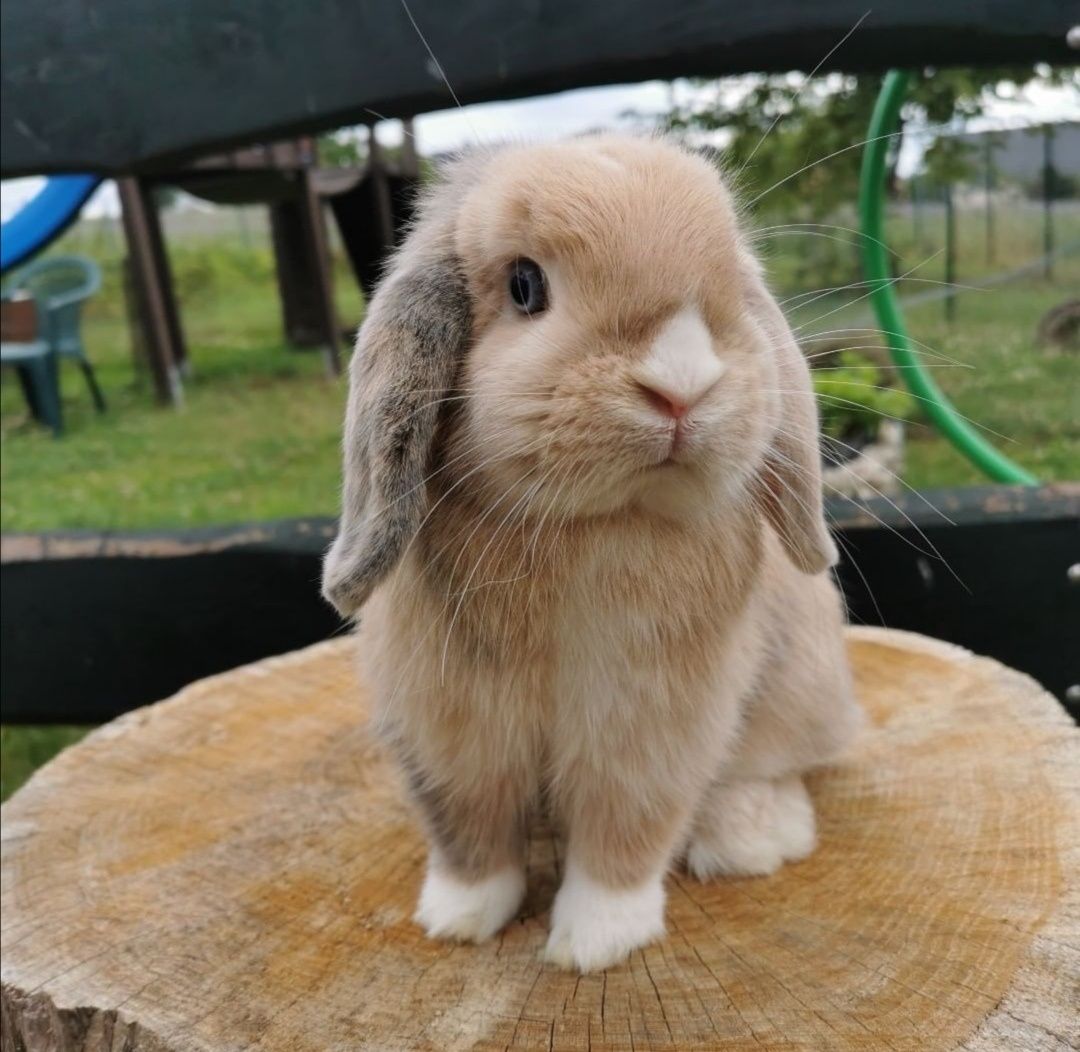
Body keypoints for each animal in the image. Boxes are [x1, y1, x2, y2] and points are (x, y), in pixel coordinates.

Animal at [319, 136, 859, 976]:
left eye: (728, 290)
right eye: (525, 284)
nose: (680, 386)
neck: (593, 526)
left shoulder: (650, 723)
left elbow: (625, 829)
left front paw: (594, 943)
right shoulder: (446, 724)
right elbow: (467, 826)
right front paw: (457, 918)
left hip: (803, 688)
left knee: (771, 766)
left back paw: (751, 837)